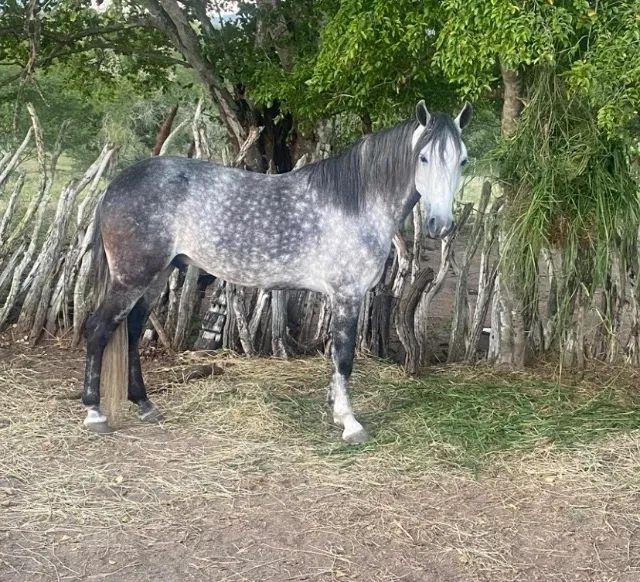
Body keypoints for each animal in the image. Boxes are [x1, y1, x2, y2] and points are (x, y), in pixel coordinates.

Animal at [82, 100, 472, 443]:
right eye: (423, 157)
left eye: (463, 160)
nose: (439, 224)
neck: (358, 203)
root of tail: (116, 185)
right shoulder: (348, 295)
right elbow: (345, 357)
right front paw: (350, 423)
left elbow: (335, 356)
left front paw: (335, 409)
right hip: (132, 278)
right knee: (99, 329)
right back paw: (95, 413)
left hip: (157, 276)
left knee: (133, 330)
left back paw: (145, 404)